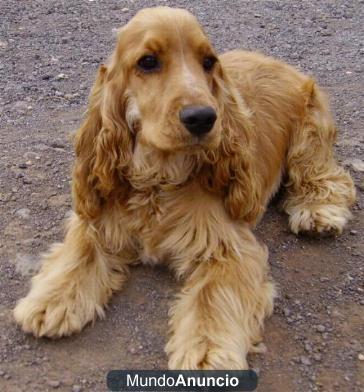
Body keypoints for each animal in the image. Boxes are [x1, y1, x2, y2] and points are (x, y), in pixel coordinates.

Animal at [14, 8, 356, 370]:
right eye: (148, 61)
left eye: (207, 62)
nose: (203, 117)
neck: (157, 179)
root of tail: (280, 62)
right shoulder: (100, 218)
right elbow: (80, 250)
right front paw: (51, 300)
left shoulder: (229, 247)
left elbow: (212, 297)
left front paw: (207, 353)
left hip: (309, 135)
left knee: (329, 177)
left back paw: (318, 213)